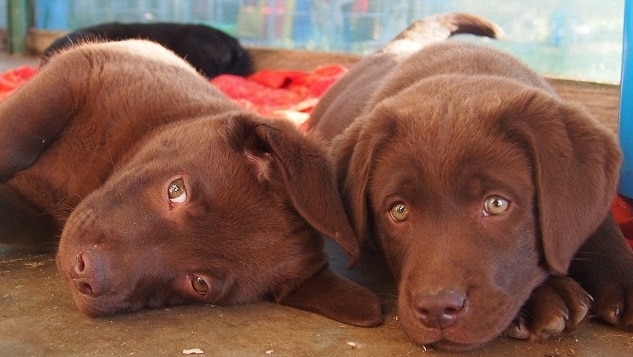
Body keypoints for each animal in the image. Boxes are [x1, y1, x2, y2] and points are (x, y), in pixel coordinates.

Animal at [0, 39, 380, 326]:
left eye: (199, 284)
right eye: (176, 190)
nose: (85, 273)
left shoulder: (37, 217)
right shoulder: (78, 73)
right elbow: (16, 136)